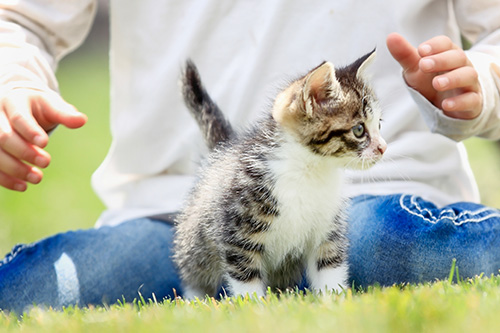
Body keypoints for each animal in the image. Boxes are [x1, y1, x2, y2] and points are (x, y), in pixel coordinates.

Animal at [173, 50, 386, 298]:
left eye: (379, 125)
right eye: (359, 130)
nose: (383, 147)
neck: (310, 170)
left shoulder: (327, 229)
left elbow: (329, 266)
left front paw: (335, 300)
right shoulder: (237, 230)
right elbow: (246, 277)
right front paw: (254, 305)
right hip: (196, 240)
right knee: (196, 272)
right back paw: (194, 300)